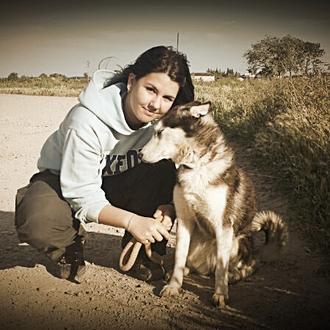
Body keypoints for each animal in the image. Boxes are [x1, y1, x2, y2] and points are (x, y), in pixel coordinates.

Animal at [141, 101, 288, 310]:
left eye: (159, 132)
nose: (139, 153)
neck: (197, 166)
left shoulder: (223, 226)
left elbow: (221, 268)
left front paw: (220, 294)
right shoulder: (184, 221)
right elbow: (178, 258)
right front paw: (173, 286)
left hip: (236, 241)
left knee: (245, 266)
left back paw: (234, 275)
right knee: (192, 264)